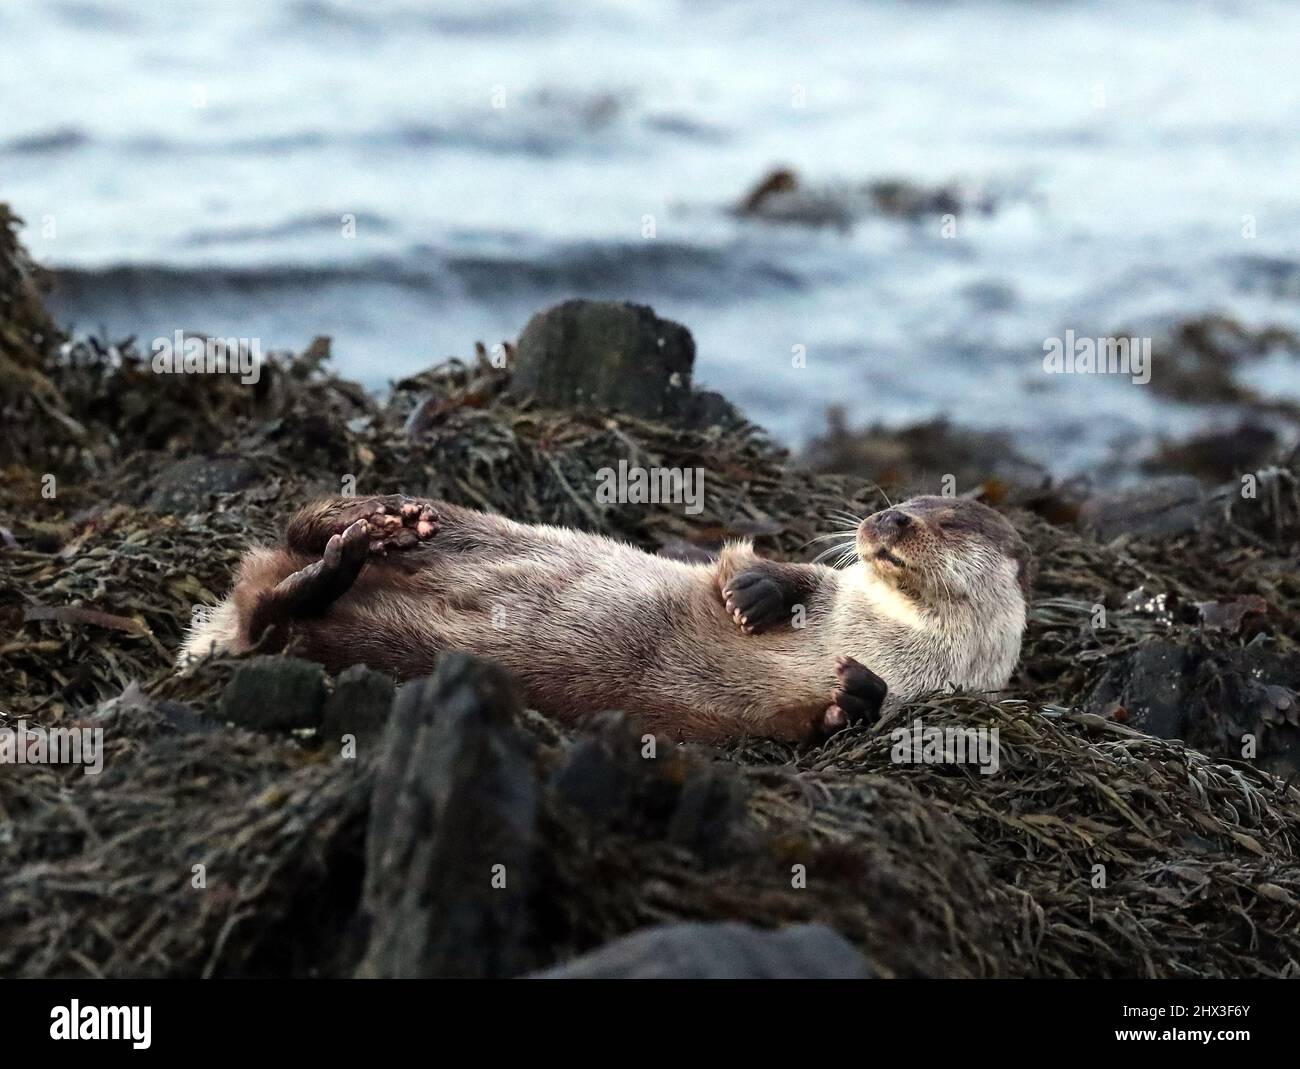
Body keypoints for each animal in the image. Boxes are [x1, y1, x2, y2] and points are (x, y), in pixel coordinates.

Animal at [183, 496, 1034, 738]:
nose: (886, 519)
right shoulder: (835, 590)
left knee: (273, 618)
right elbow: (776, 568)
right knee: (299, 524)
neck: (882, 634)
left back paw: (334, 568)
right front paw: (755, 594)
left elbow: (840, 714)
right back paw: (378, 521)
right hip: (483, 526)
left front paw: (853, 692)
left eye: (947, 519)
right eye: (899, 502)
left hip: (360, 640)